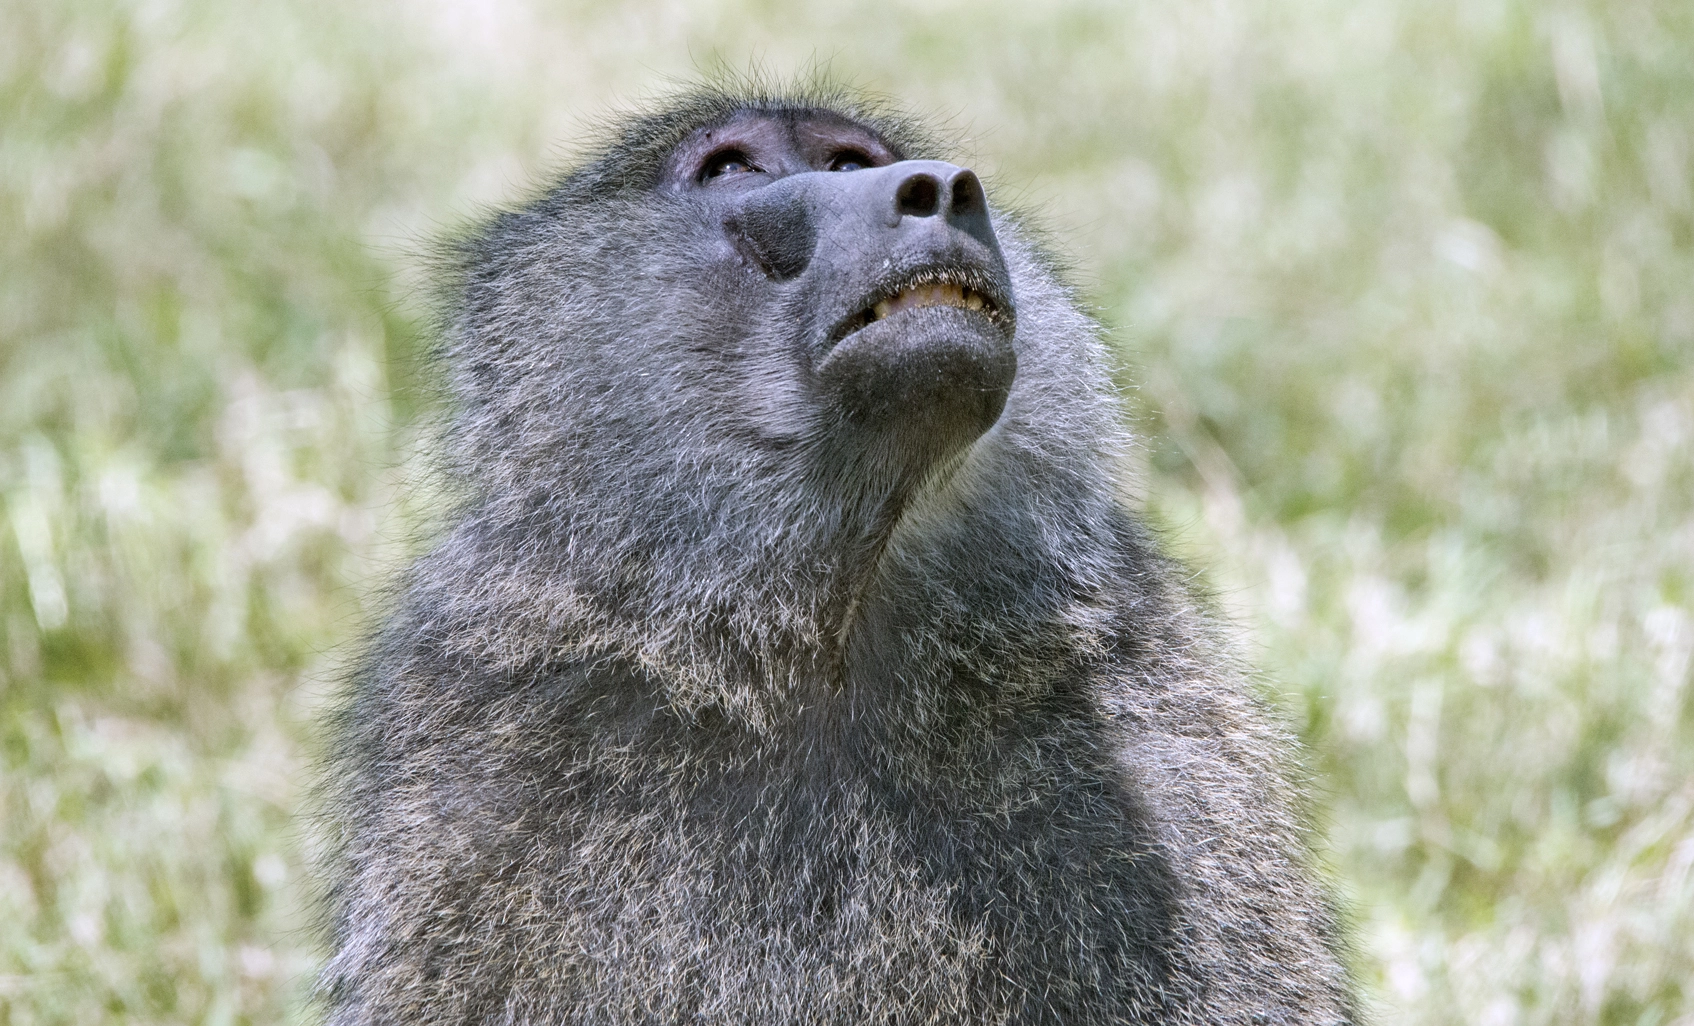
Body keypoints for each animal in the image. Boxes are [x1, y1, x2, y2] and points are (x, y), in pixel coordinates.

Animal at [319, 84, 1356, 1025]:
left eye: (853, 160)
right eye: (732, 169)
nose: (939, 188)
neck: (809, 643)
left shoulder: (1160, 739)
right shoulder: (483, 759)